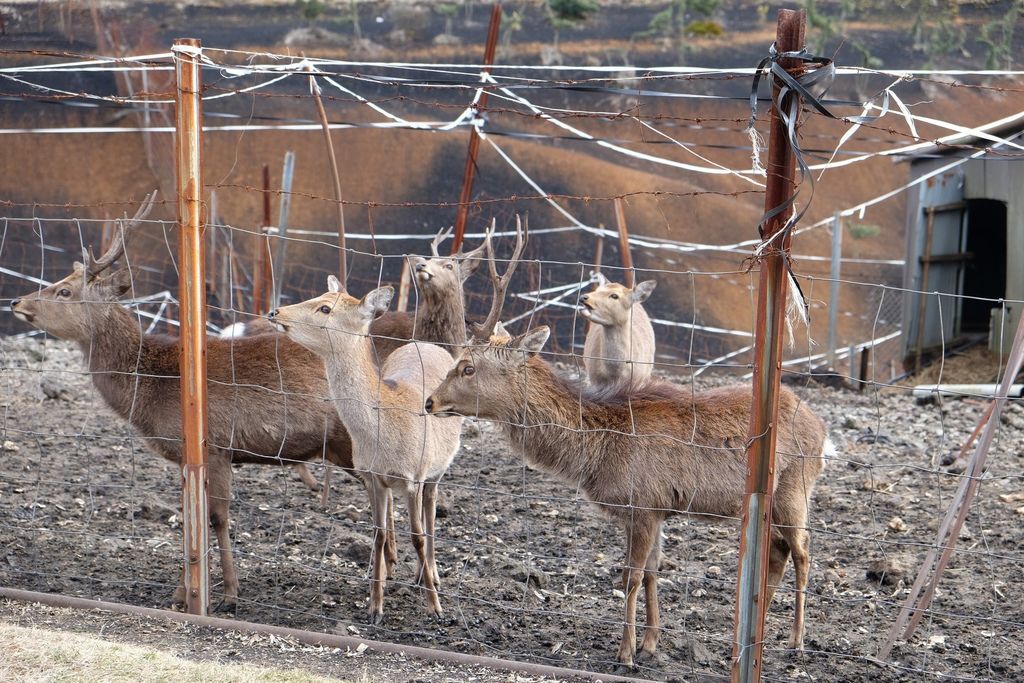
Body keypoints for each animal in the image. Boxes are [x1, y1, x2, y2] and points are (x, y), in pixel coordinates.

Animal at [423, 254, 831, 667]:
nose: (430, 401)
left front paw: (626, 652)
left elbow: (630, 577)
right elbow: (652, 573)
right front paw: (650, 643)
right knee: (779, 551)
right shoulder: (657, 508)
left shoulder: (643, 504)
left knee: (803, 551)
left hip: (795, 486)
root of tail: (821, 427)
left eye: (468, 367)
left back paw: (796, 640)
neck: (599, 452)